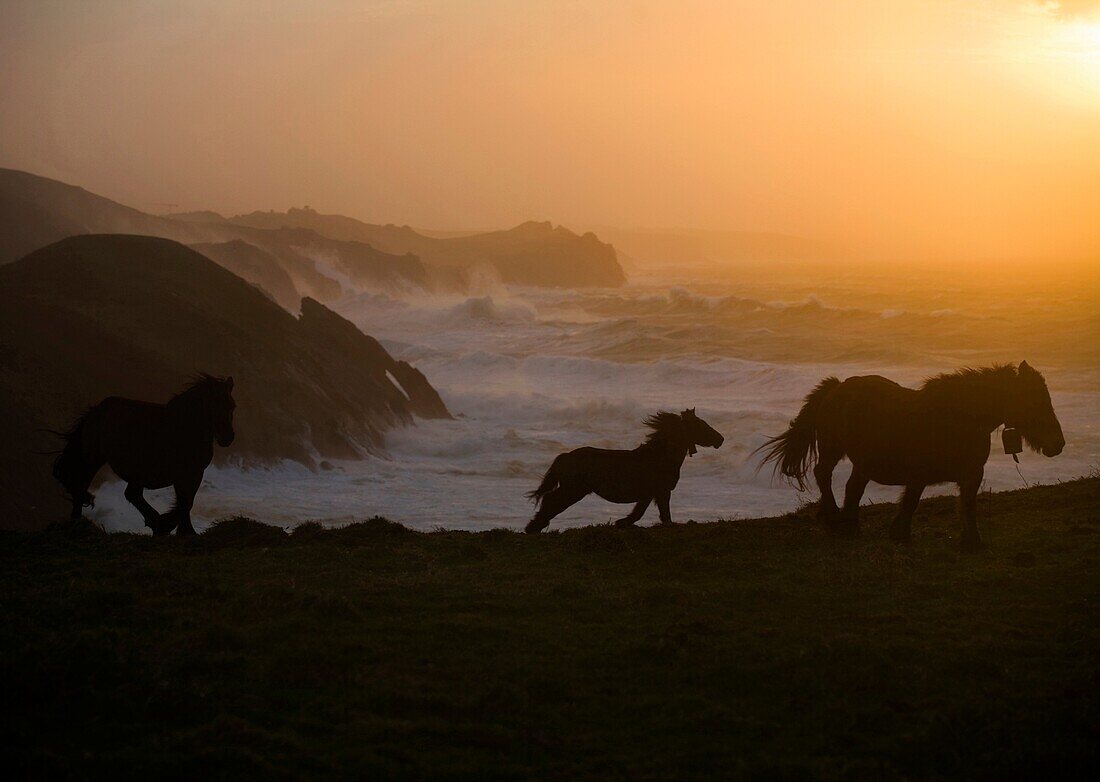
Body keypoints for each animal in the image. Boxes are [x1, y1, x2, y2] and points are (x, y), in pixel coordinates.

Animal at [51, 373, 236, 534]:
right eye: (213, 405)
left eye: (232, 406)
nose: (227, 438)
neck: (184, 427)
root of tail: (96, 411)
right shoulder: (187, 473)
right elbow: (185, 503)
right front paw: (171, 527)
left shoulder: (190, 474)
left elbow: (186, 501)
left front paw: (183, 531)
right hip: (94, 460)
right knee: (83, 486)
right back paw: (77, 524)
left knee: (131, 494)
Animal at [523, 409, 721, 532]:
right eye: (700, 424)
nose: (720, 439)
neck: (660, 455)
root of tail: (566, 456)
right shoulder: (659, 491)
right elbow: (654, 512)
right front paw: (623, 523)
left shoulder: (653, 493)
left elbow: (648, 512)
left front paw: (623, 523)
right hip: (574, 489)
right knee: (551, 500)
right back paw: (533, 527)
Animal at [761, 362, 1060, 549]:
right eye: (1036, 400)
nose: (1058, 444)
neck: (957, 418)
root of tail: (836, 387)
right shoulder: (921, 473)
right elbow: (914, 501)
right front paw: (902, 534)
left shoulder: (970, 474)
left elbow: (965, 505)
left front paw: (970, 542)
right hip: (833, 449)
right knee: (825, 475)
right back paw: (836, 521)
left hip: (863, 463)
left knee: (852, 487)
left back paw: (848, 525)